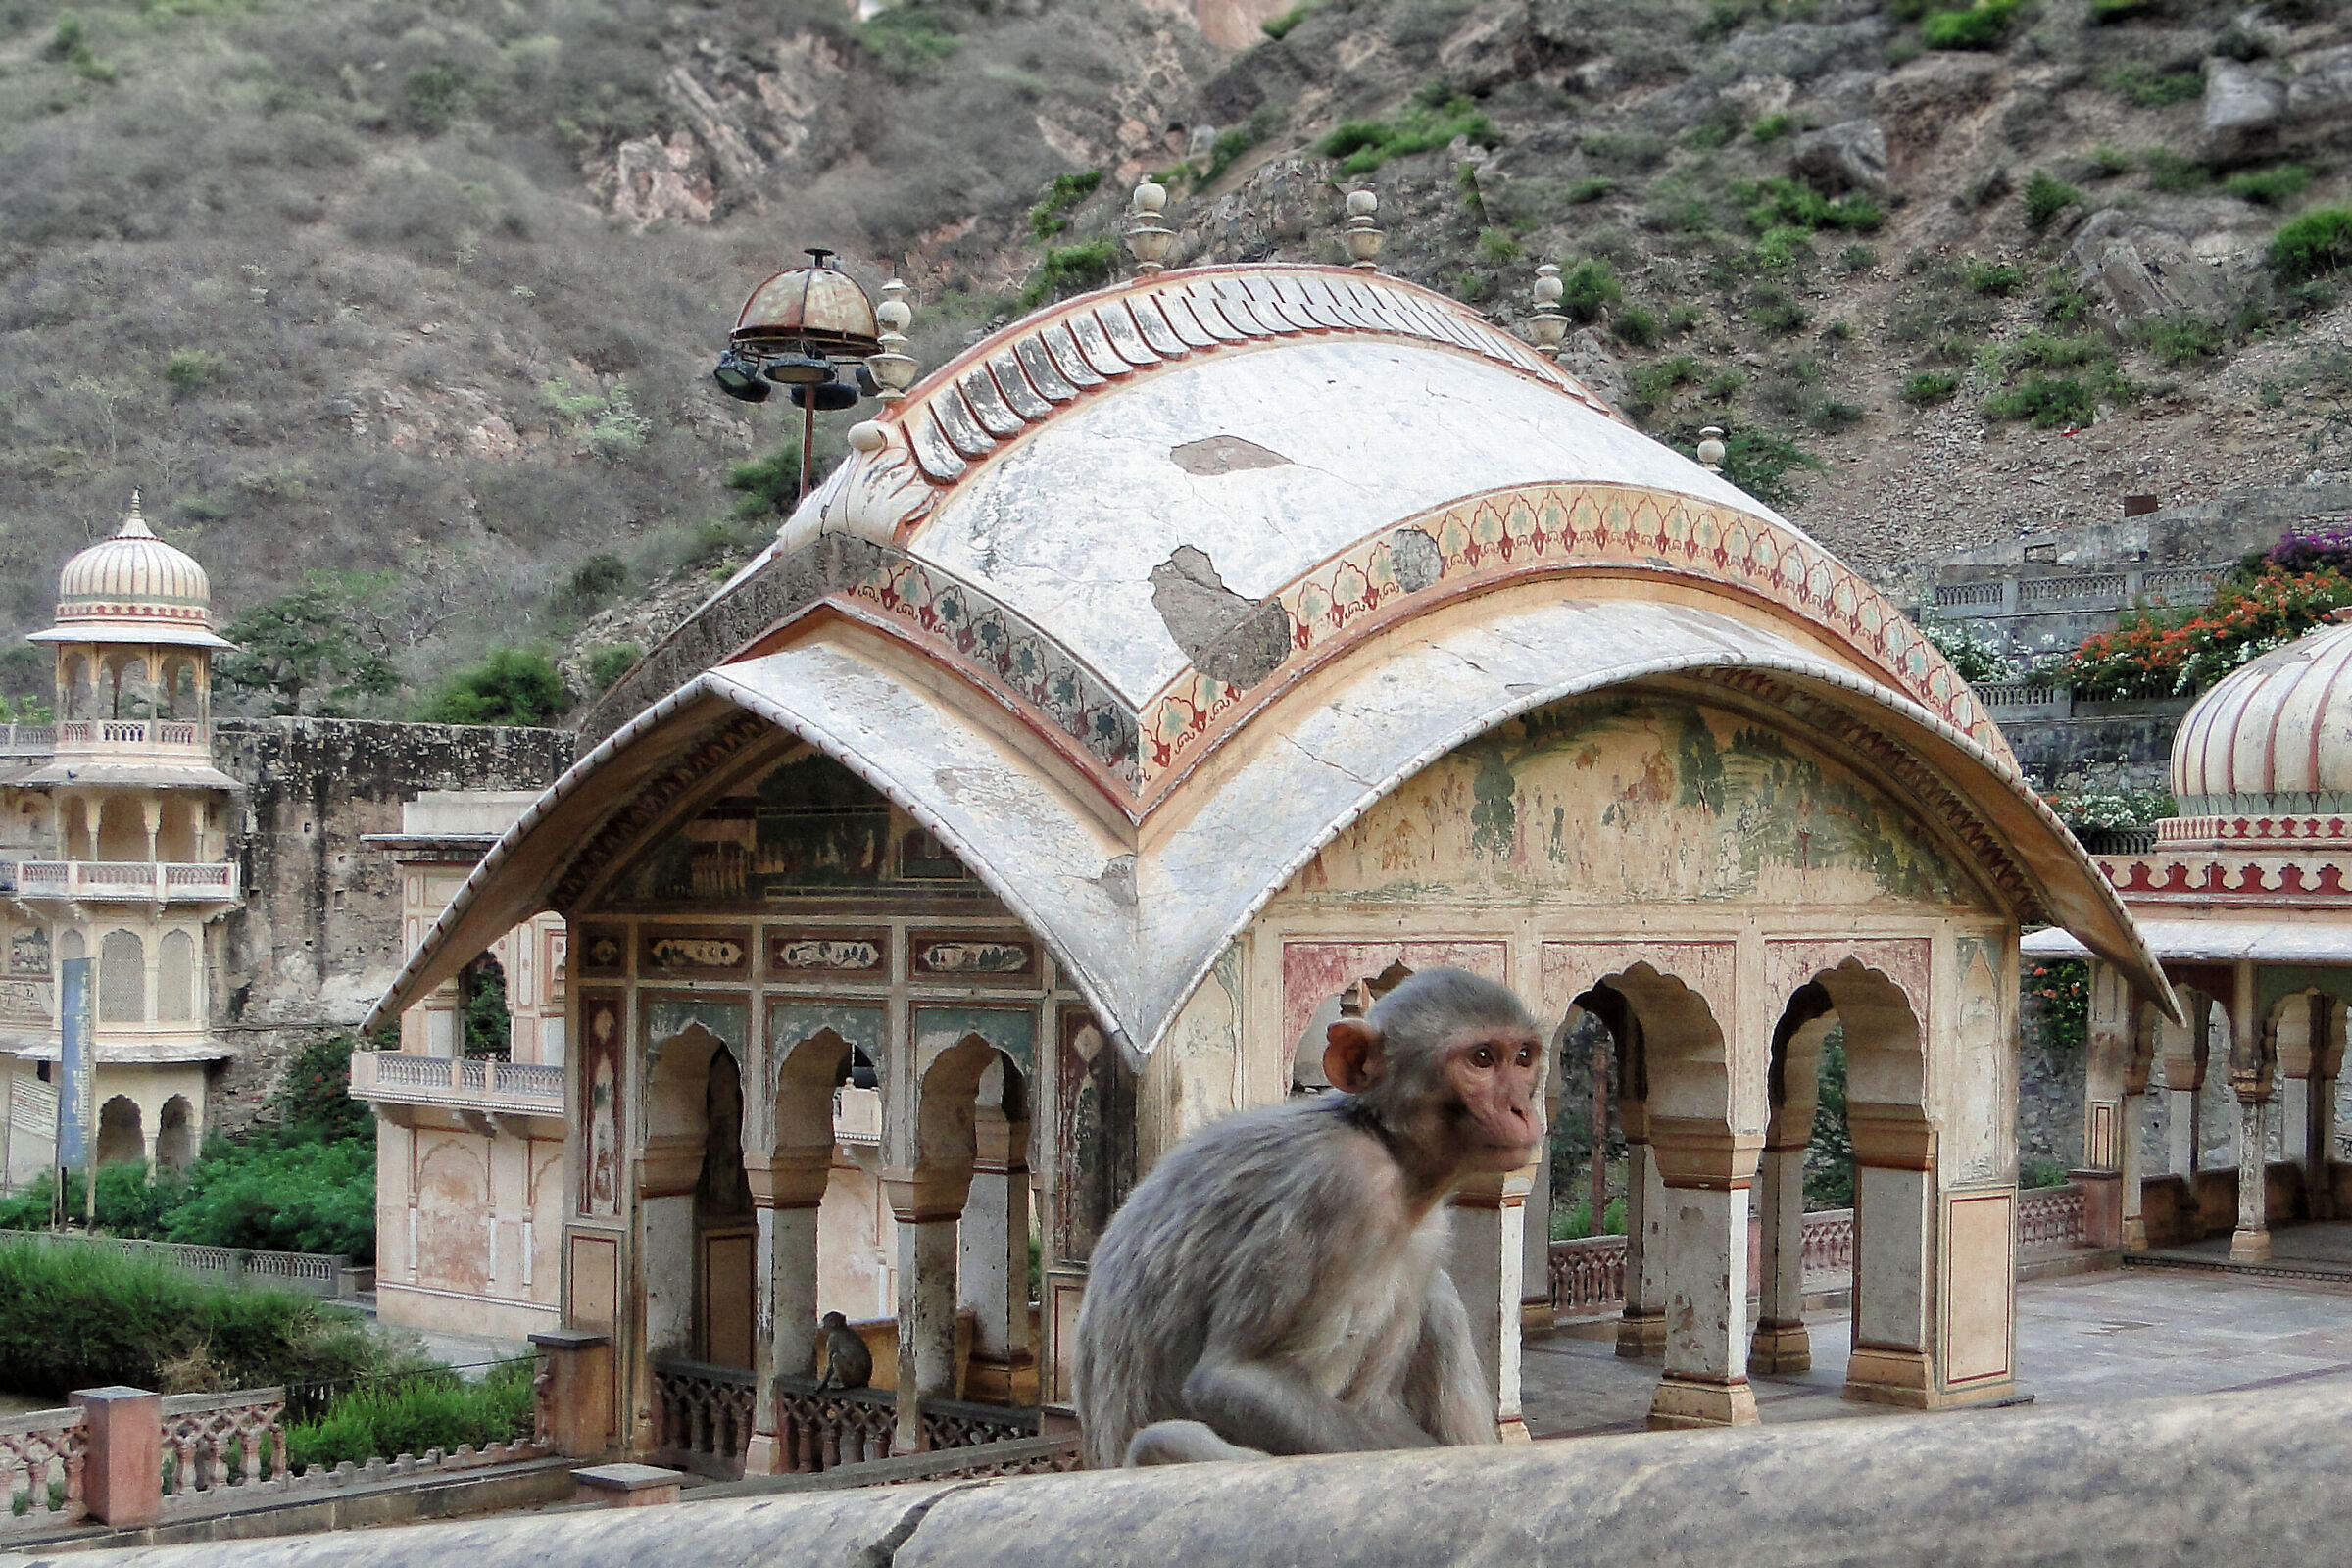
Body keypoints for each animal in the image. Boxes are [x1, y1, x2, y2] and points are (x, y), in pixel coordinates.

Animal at [1072, 966, 1544, 1468]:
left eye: (1522, 1057)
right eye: (1481, 1058)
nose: (1521, 1109)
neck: (1382, 1141)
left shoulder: (1427, 1228)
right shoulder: (1338, 1188)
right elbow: (1234, 1380)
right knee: (1165, 1439)